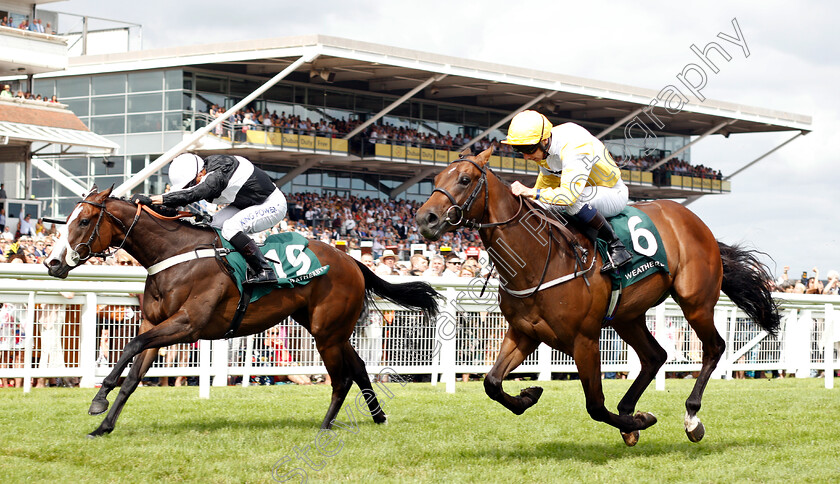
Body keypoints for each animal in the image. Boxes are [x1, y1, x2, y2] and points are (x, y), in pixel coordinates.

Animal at [45, 187, 440, 436]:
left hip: (327, 334)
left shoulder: (188, 325)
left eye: (83, 221)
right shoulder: (156, 324)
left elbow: (129, 346)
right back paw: (378, 417)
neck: (173, 253)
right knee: (357, 368)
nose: (52, 262)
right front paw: (103, 425)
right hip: (329, 330)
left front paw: (98, 398)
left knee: (341, 379)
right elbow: (133, 376)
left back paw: (326, 426)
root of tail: (352, 260)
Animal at [416, 148, 780, 446]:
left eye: (464, 179)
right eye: (434, 179)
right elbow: (492, 382)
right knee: (655, 356)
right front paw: (529, 394)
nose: (425, 218)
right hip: (627, 317)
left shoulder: (585, 340)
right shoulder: (524, 333)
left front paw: (640, 421)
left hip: (695, 302)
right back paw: (631, 409)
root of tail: (699, 225)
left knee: (714, 348)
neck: (538, 258)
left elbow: (595, 406)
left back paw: (691, 418)